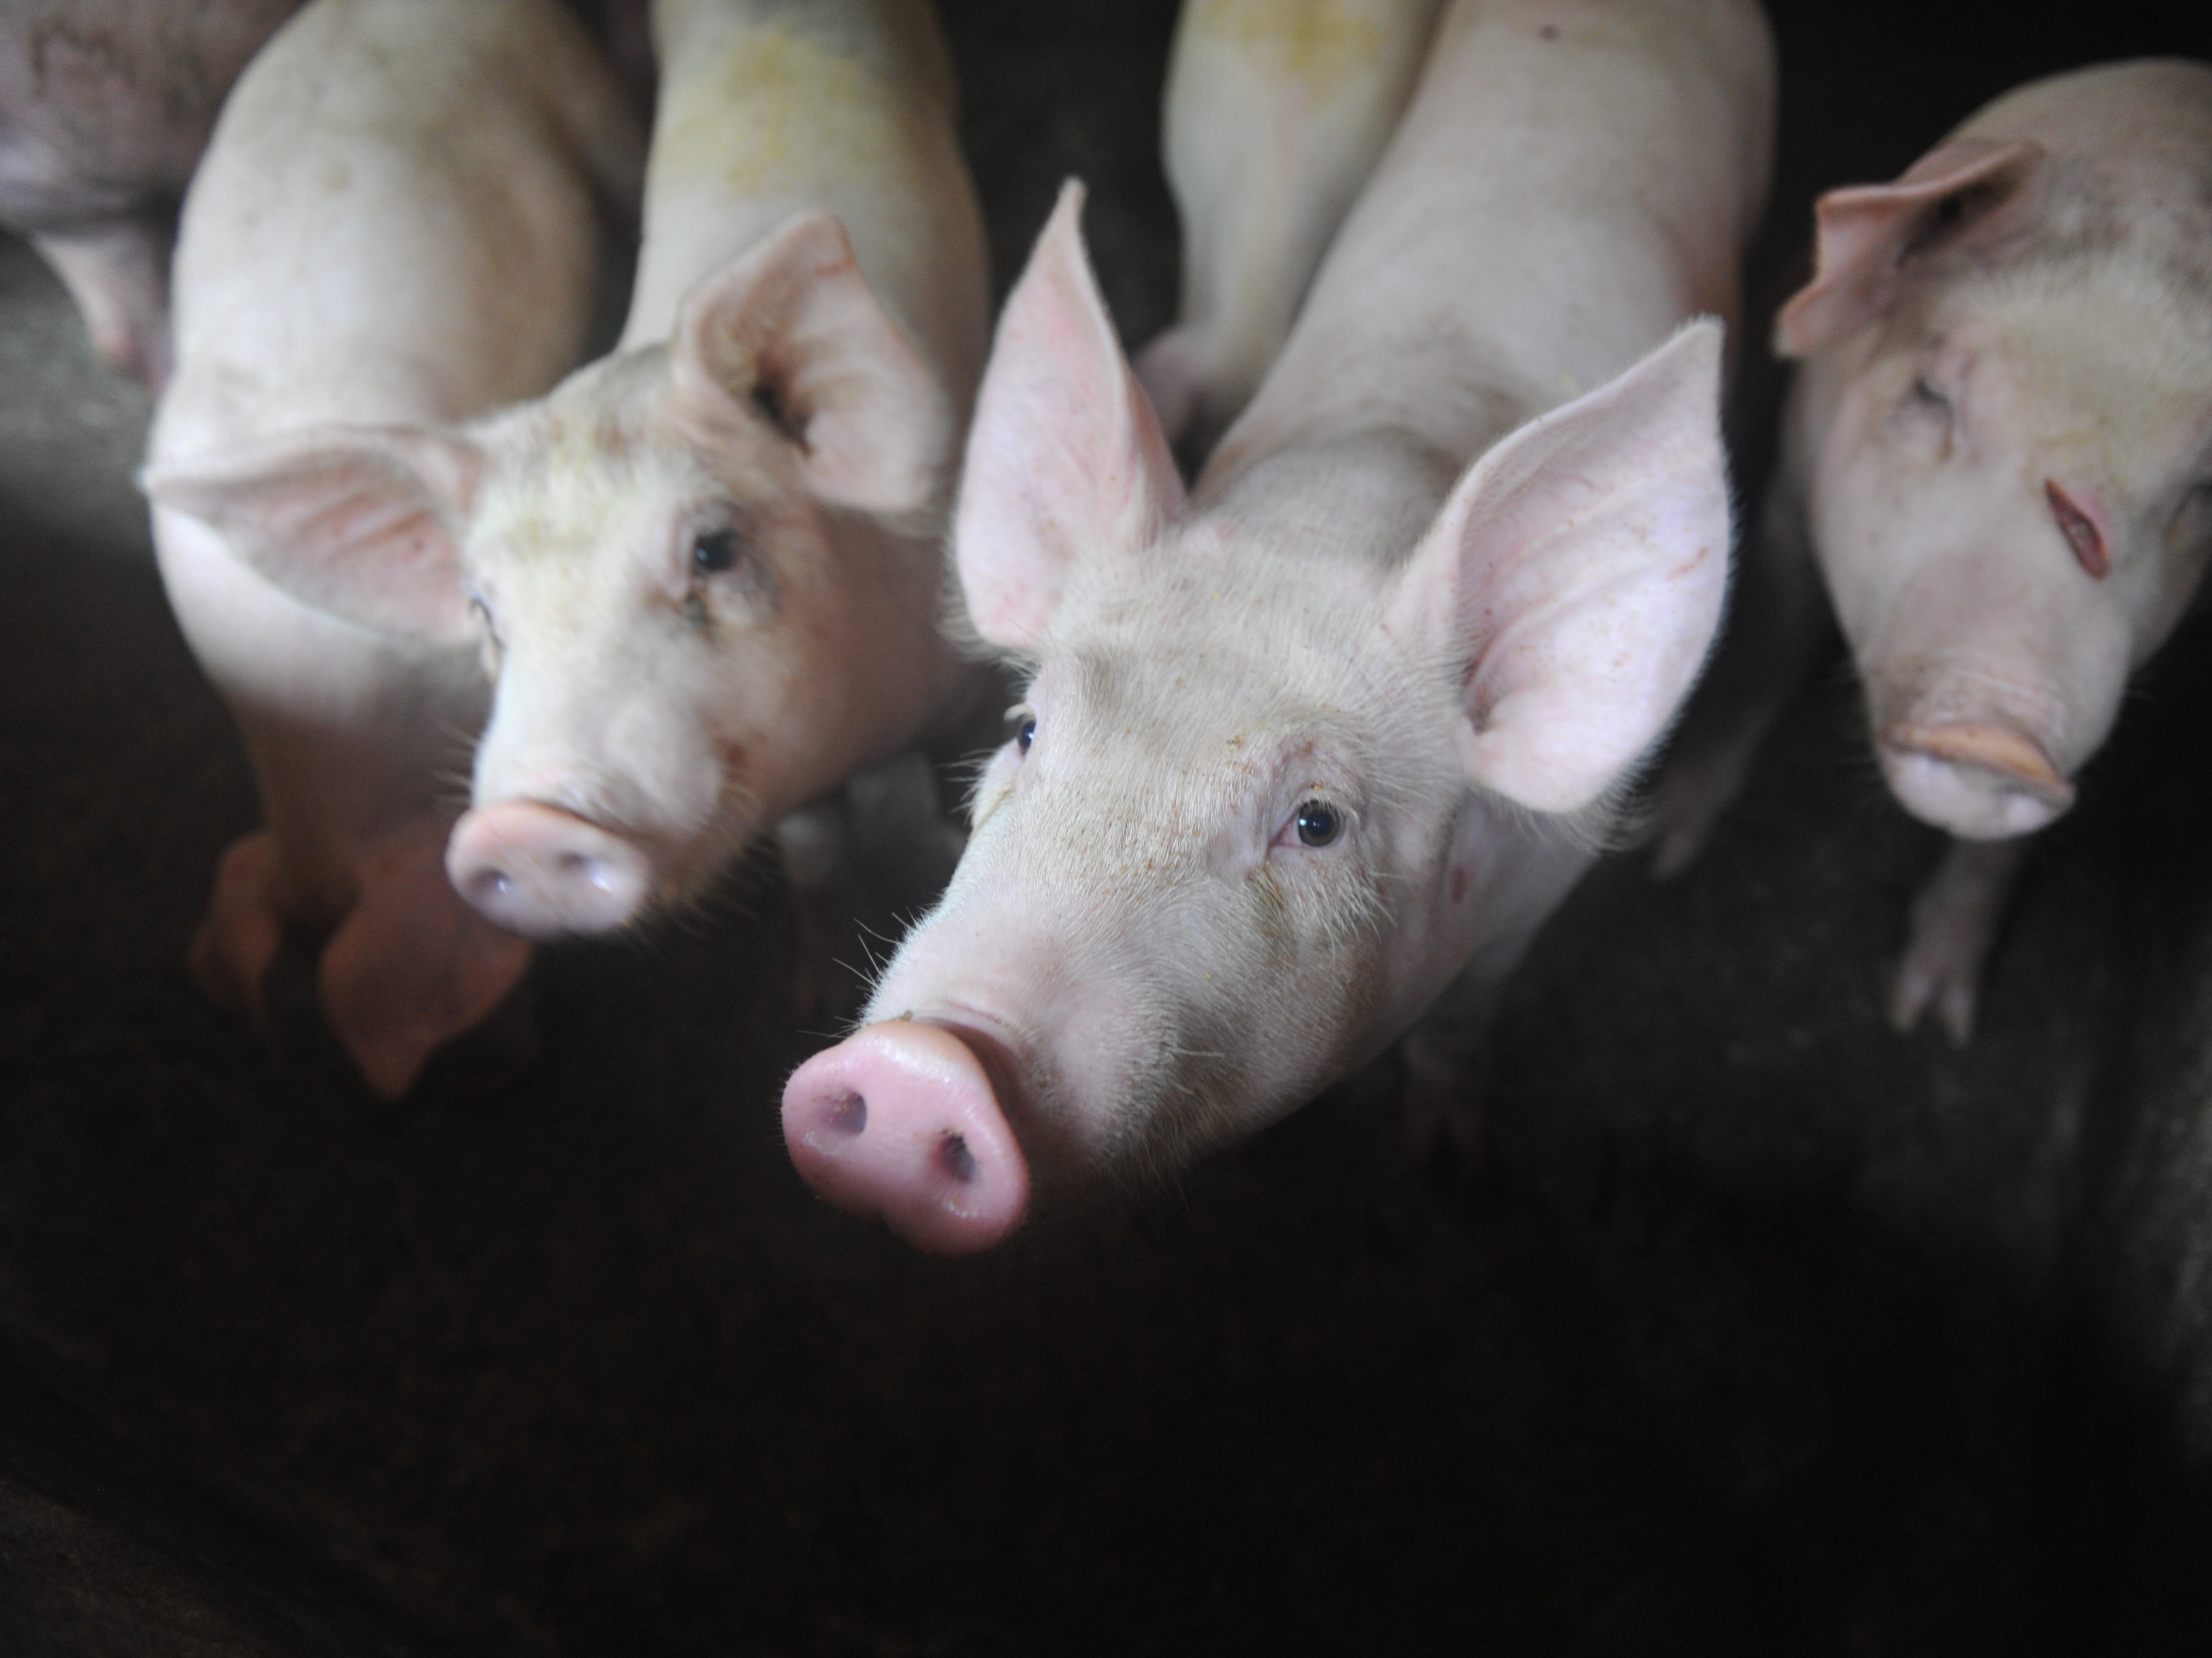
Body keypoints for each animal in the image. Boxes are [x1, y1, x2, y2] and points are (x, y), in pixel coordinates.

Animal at [143, 0, 993, 962]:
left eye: (713, 551)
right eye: (482, 609)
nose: (525, 827)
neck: (869, 730)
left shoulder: (964, 671)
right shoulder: (799, 783)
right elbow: (820, 855)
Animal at [1759, 60, 2212, 1043]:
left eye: (2200, 490)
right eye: (1932, 394)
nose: (1993, 737)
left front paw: (1927, 1023)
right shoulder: (1787, 481)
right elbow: (1761, 650)